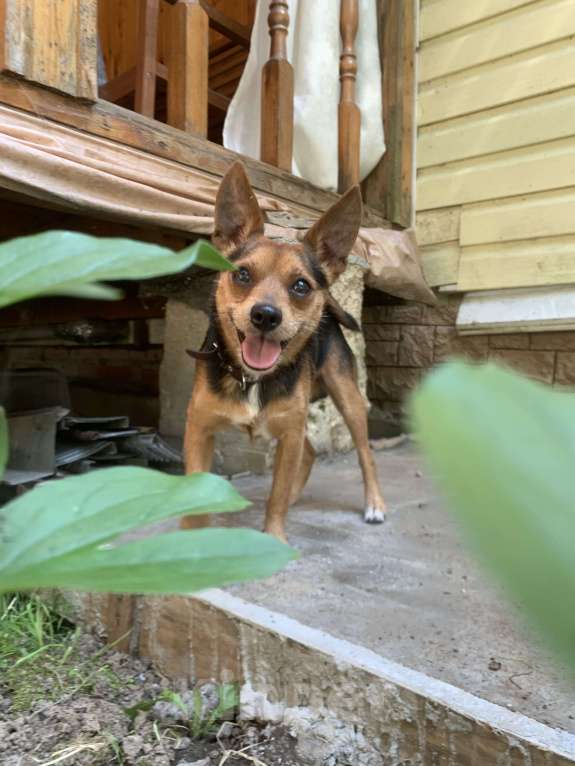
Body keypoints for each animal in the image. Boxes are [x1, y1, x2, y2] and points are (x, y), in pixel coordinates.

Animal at [181, 164, 388, 544]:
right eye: (242, 274)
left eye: (301, 286)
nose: (265, 315)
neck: (252, 378)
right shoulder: (199, 429)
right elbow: (195, 499)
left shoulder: (289, 434)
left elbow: (276, 495)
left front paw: (274, 538)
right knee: (309, 454)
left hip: (346, 398)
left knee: (365, 453)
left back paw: (374, 504)